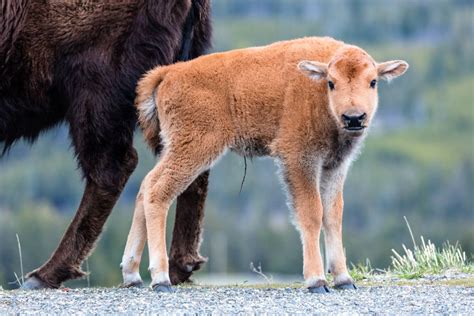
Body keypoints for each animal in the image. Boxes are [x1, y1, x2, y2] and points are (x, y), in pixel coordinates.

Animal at [121, 36, 408, 292]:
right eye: (331, 83)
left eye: (373, 81)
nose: (354, 118)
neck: (317, 94)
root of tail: (169, 72)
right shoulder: (299, 160)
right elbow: (311, 213)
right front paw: (316, 281)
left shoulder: (334, 166)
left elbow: (333, 216)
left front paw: (344, 279)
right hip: (193, 149)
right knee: (158, 191)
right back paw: (160, 279)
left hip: (176, 148)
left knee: (145, 186)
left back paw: (132, 275)